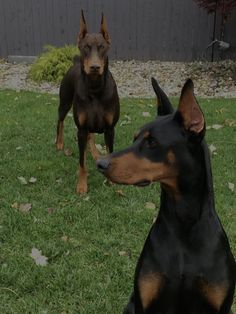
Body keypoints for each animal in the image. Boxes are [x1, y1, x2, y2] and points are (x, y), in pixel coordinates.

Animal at [55, 10, 120, 194]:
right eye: (86, 47)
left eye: (102, 47)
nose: (95, 67)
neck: (95, 88)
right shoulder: (81, 129)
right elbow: (82, 162)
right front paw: (82, 185)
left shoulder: (110, 129)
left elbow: (109, 151)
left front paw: (111, 181)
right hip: (64, 103)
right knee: (60, 121)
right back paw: (59, 143)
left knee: (91, 136)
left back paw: (96, 153)